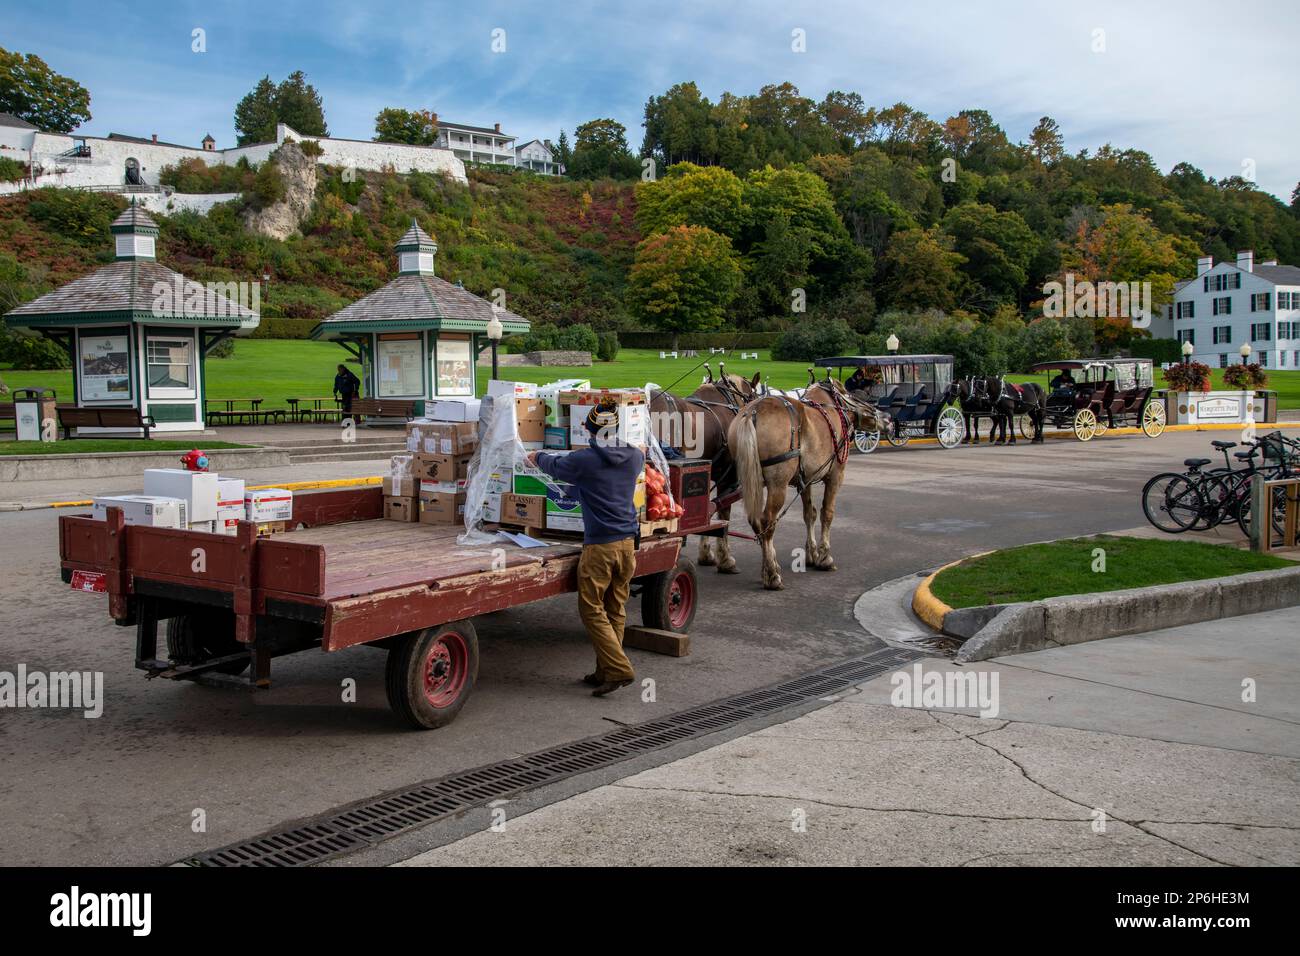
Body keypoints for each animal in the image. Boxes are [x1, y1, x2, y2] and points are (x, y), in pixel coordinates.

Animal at [650, 364, 759, 574]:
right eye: (754, 396)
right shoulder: (728, 477)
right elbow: (722, 512)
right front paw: (725, 559)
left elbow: (706, 510)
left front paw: (706, 553)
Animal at [733, 374, 883, 590]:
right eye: (854, 395)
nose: (885, 417)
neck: (832, 409)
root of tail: (751, 413)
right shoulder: (835, 474)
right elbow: (827, 513)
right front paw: (825, 556)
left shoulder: (806, 478)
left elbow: (809, 513)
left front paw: (812, 553)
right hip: (777, 484)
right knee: (767, 521)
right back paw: (772, 574)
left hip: (751, 481)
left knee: (757, 523)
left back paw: (767, 567)